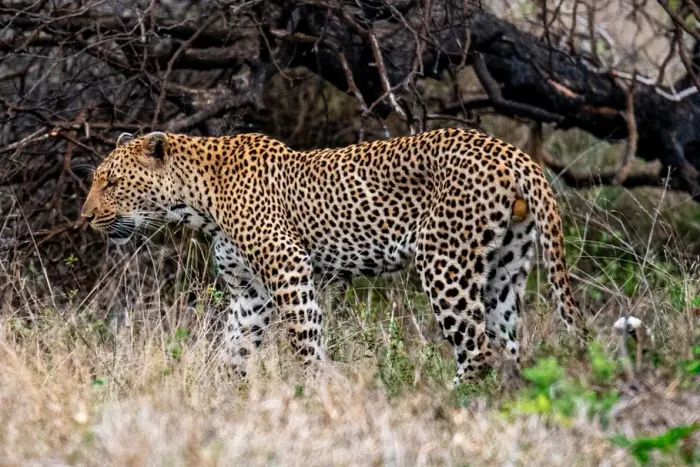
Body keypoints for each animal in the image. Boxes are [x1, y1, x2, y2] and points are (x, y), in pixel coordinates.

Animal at [80, 128, 589, 384]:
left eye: (111, 182)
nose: (84, 218)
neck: (198, 201)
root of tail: (515, 154)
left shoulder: (288, 267)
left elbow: (305, 341)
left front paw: (319, 392)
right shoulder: (250, 294)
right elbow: (232, 349)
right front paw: (221, 397)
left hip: (444, 263)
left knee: (477, 350)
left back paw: (447, 400)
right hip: (504, 268)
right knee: (509, 349)